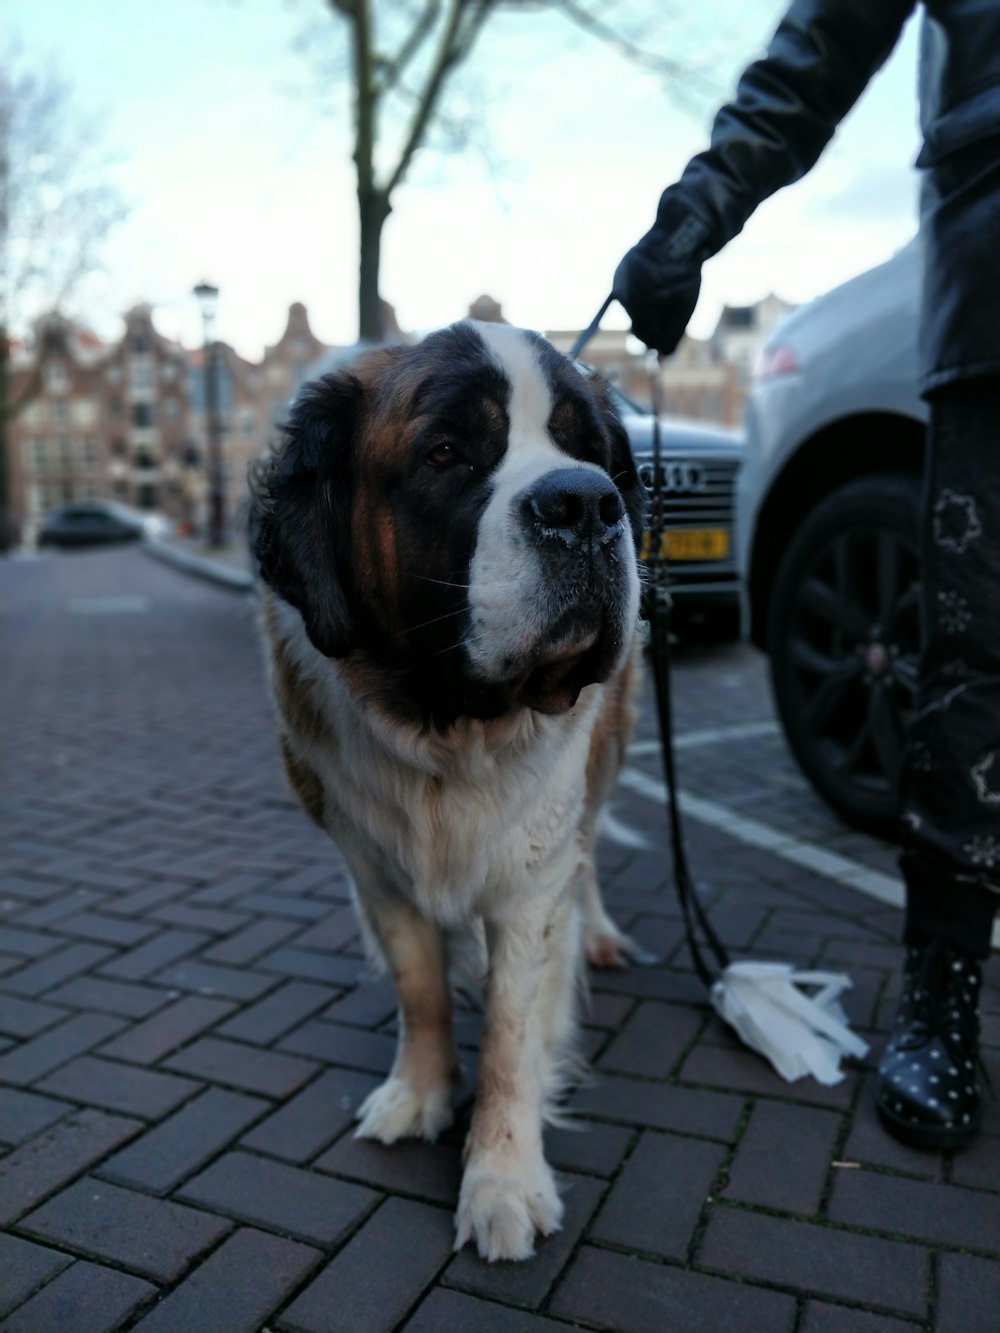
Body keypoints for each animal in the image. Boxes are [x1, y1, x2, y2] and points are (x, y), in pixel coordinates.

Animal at [246, 319, 645, 1258]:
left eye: (591, 454)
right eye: (448, 453)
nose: (586, 503)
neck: (451, 726)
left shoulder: (531, 882)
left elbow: (509, 1031)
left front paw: (502, 1180)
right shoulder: (372, 867)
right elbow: (419, 987)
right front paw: (420, 1092)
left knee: (592, 848)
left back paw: (600, 932)